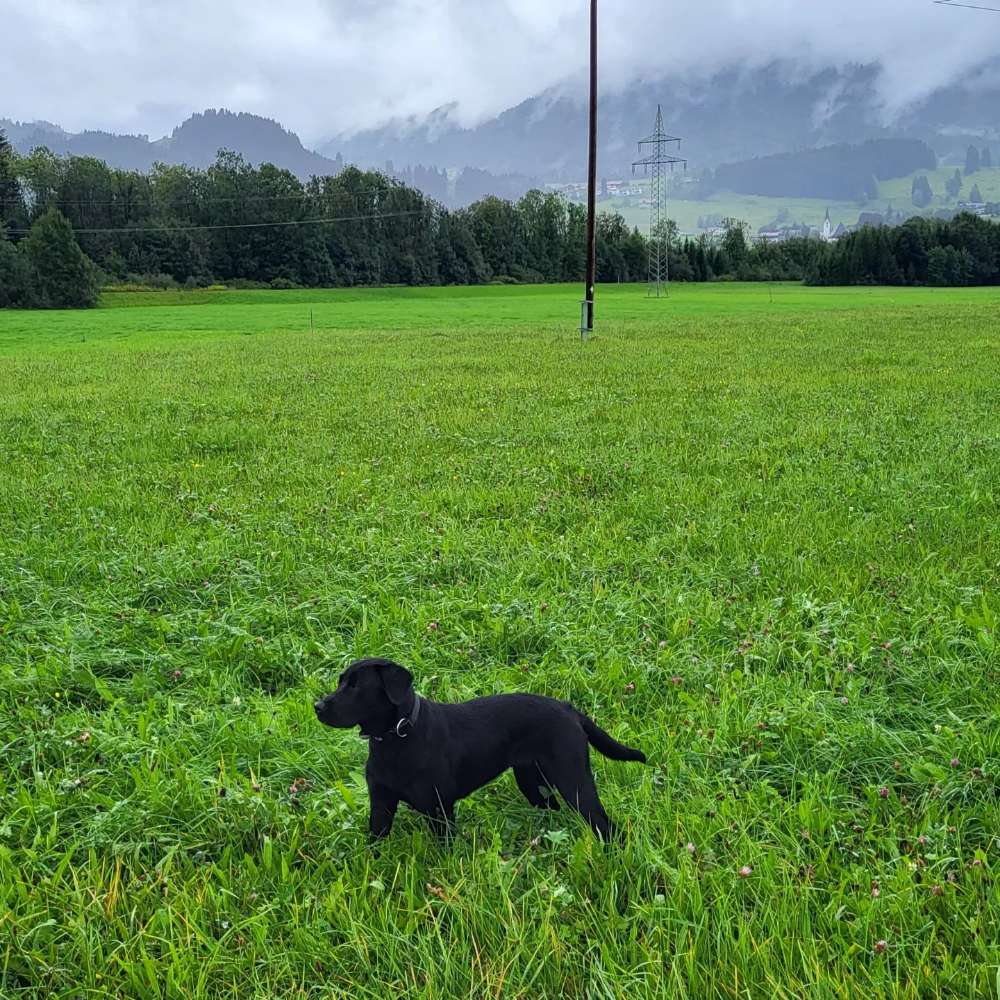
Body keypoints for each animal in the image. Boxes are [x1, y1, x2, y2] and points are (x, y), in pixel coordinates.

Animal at [312, 660, 648, 840]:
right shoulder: (381, 806)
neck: (397, 737)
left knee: (604, 824)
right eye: (341, 682)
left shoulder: (440, 810)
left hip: (573, 780)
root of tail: (569, 709)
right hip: (531, 780)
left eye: (356, 686)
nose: (317, 706)